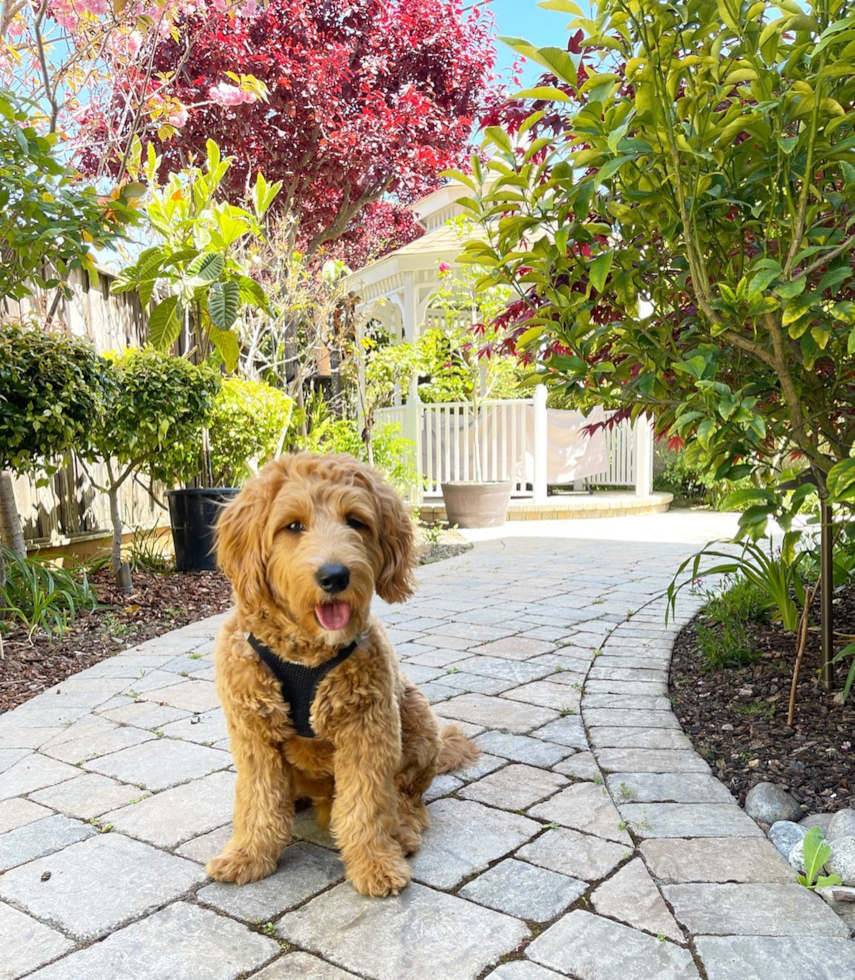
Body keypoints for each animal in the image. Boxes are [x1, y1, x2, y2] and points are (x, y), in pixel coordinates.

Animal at [205, 452, 478, 896]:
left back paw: (402, 830)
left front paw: (375, 863)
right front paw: (247, 854)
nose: (334, 576)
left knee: (407, 798)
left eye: (355, 521)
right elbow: (258, 799)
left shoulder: (368, 730)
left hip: (416, 717)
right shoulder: (253, 732)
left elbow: (366, 805)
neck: (306, 654)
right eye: (292, 526)